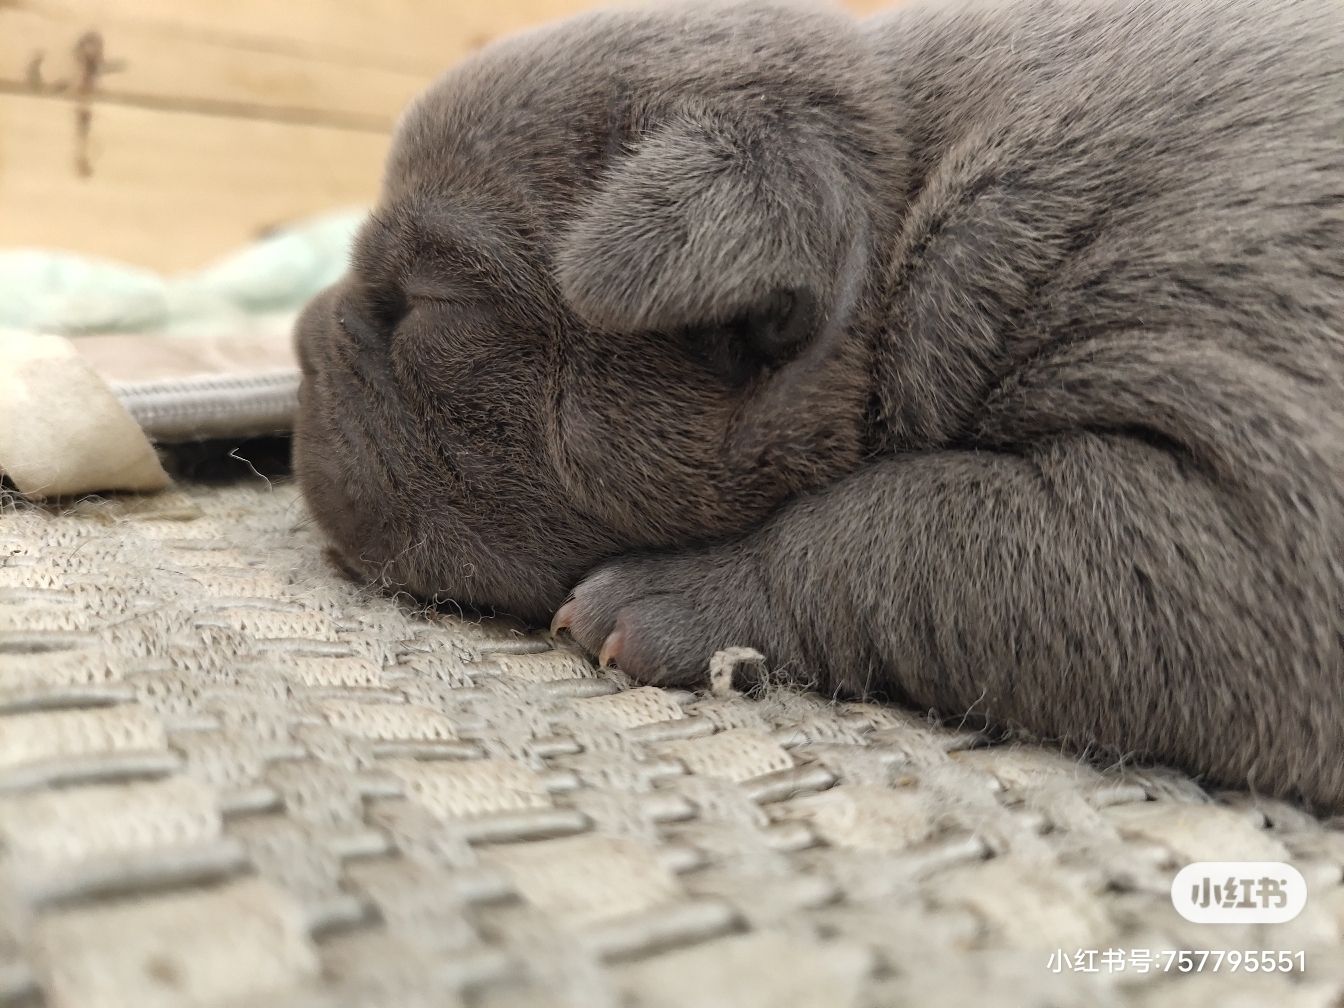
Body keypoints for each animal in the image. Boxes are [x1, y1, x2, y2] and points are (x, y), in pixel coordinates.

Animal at [294, 0, 1344, 811]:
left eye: (431, 306)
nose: (302, 344)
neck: (906, 229)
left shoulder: (1239, 526)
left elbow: (913, 520)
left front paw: (679, 598)